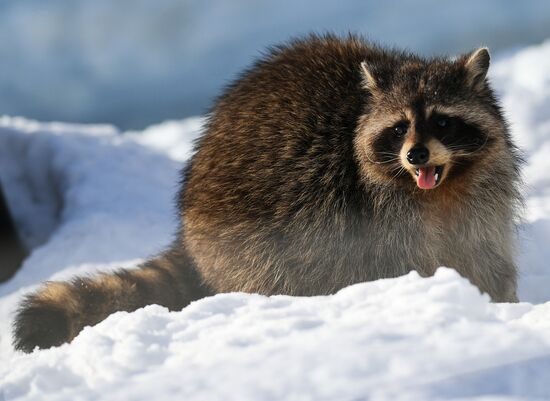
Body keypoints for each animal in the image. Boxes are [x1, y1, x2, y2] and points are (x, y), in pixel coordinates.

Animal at [12, 36, 520, 352]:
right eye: (398, 129)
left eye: (441, 122)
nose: (415, 154)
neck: (441, 190)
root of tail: (188, 232)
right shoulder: (370, 219)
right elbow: (393, 266)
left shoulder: (481, 203)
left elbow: (484, 255)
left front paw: (500, 304)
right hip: (241, 232)